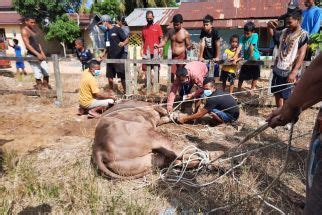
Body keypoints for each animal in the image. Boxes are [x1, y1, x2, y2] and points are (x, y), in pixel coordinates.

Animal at [90, 101, 221, 179]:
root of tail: (98, 148)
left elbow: (166, 117)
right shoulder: (153, 107)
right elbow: (164, 111)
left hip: (145, 162)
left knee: (171, 159)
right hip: (152, 136)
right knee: (177, 153)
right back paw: (210, 156)